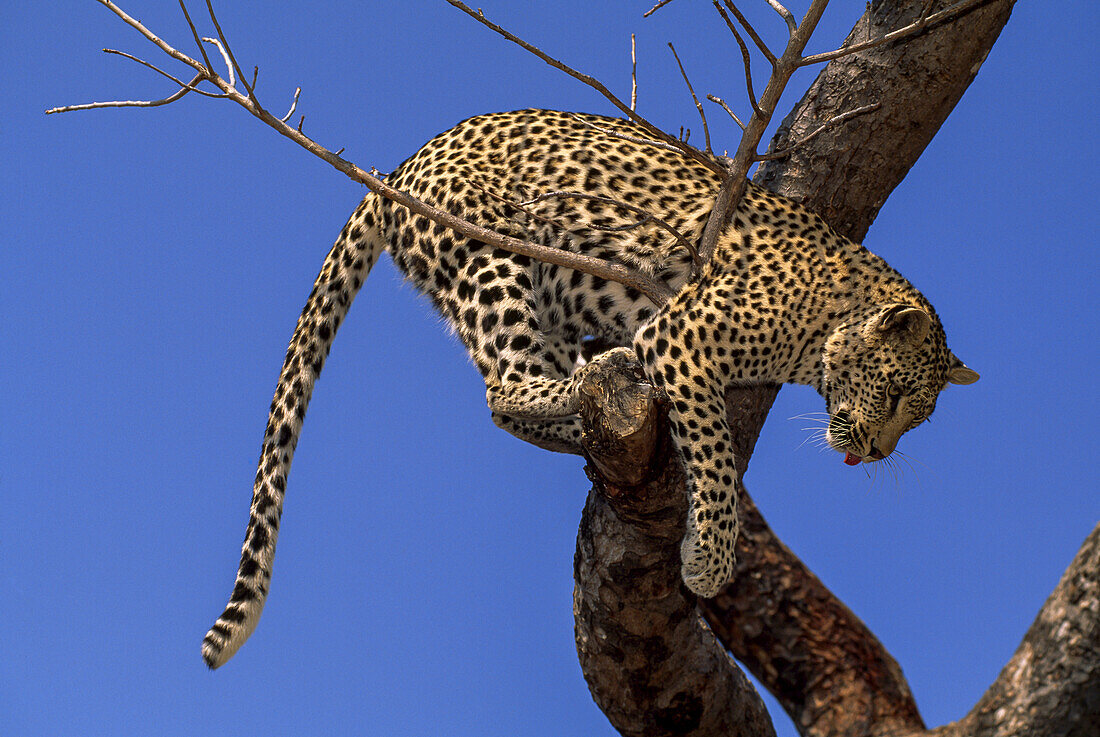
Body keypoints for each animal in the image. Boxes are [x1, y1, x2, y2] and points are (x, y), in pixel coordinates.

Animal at [200, 108, 981, 668]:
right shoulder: (684, 338)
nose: (878, 453)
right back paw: (584, 386)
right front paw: (710, 562)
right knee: (502, 388)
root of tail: (400, 165)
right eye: (899, 396)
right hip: (496, 255)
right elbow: (717, 458)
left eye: (917, 418)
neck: (823, 325)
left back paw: (586, 412)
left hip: (545, 290)